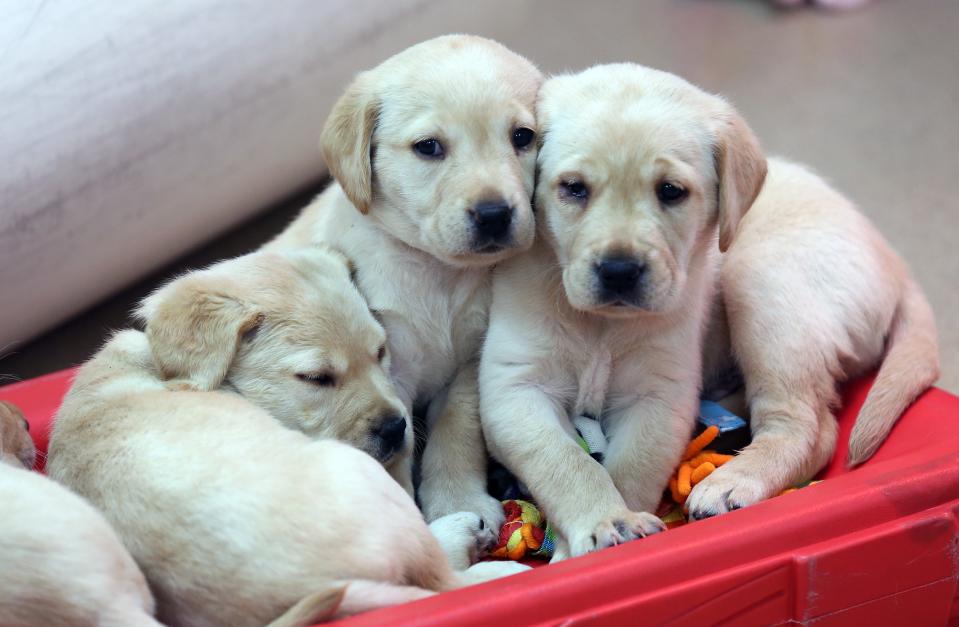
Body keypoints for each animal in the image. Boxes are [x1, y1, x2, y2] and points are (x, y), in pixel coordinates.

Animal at [48, 248, 528, 627]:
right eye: (316, 378)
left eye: (380, 352)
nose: (396, 429)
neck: (161, 364)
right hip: (357, 471)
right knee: (444, 576)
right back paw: (477, 548)